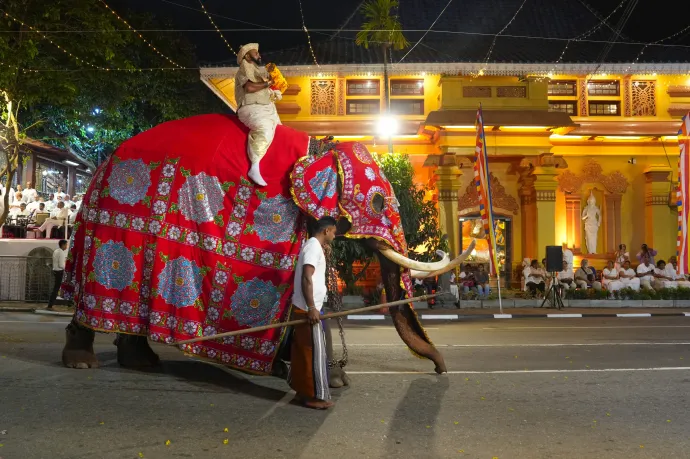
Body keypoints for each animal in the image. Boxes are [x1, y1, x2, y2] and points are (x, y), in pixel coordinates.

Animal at [59, 114, 470, 384]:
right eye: (379, 203)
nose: (441, 370)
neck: (321, 150)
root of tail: (101, 167)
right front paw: (326, 377)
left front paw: (291, 369)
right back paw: (82, 361)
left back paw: (142, 362)